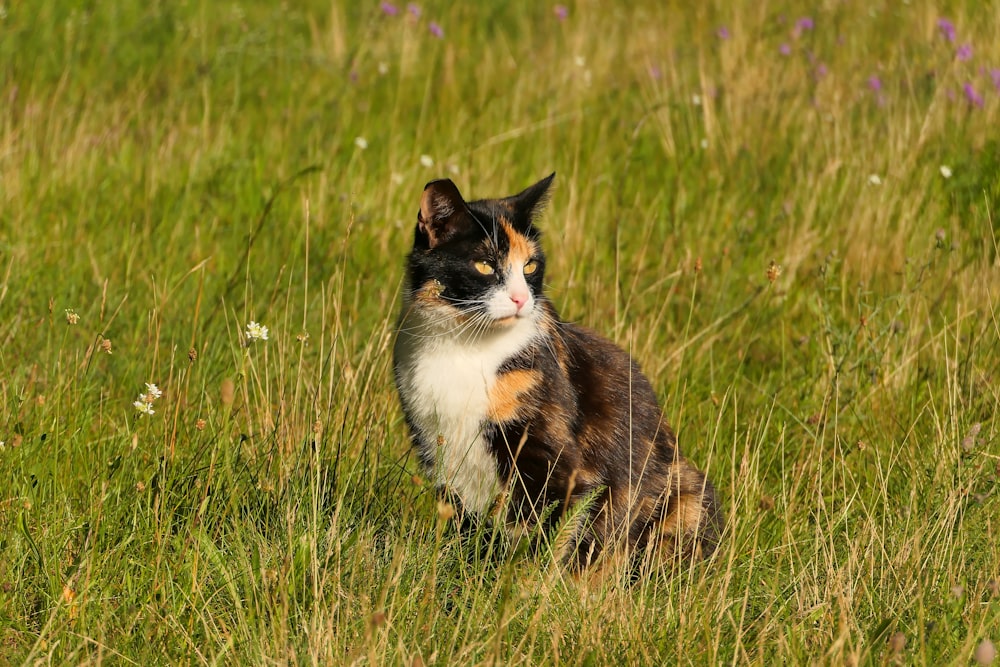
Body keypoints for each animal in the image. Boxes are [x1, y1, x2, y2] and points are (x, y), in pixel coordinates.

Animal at [394, 172, 724, 568]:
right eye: (485, 265)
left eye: (530, 266)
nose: (521, 298)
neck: (464, 347)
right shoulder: (437, 449)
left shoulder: (559, 467)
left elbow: (548, 539)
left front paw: (519, 583)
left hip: (685, 492)